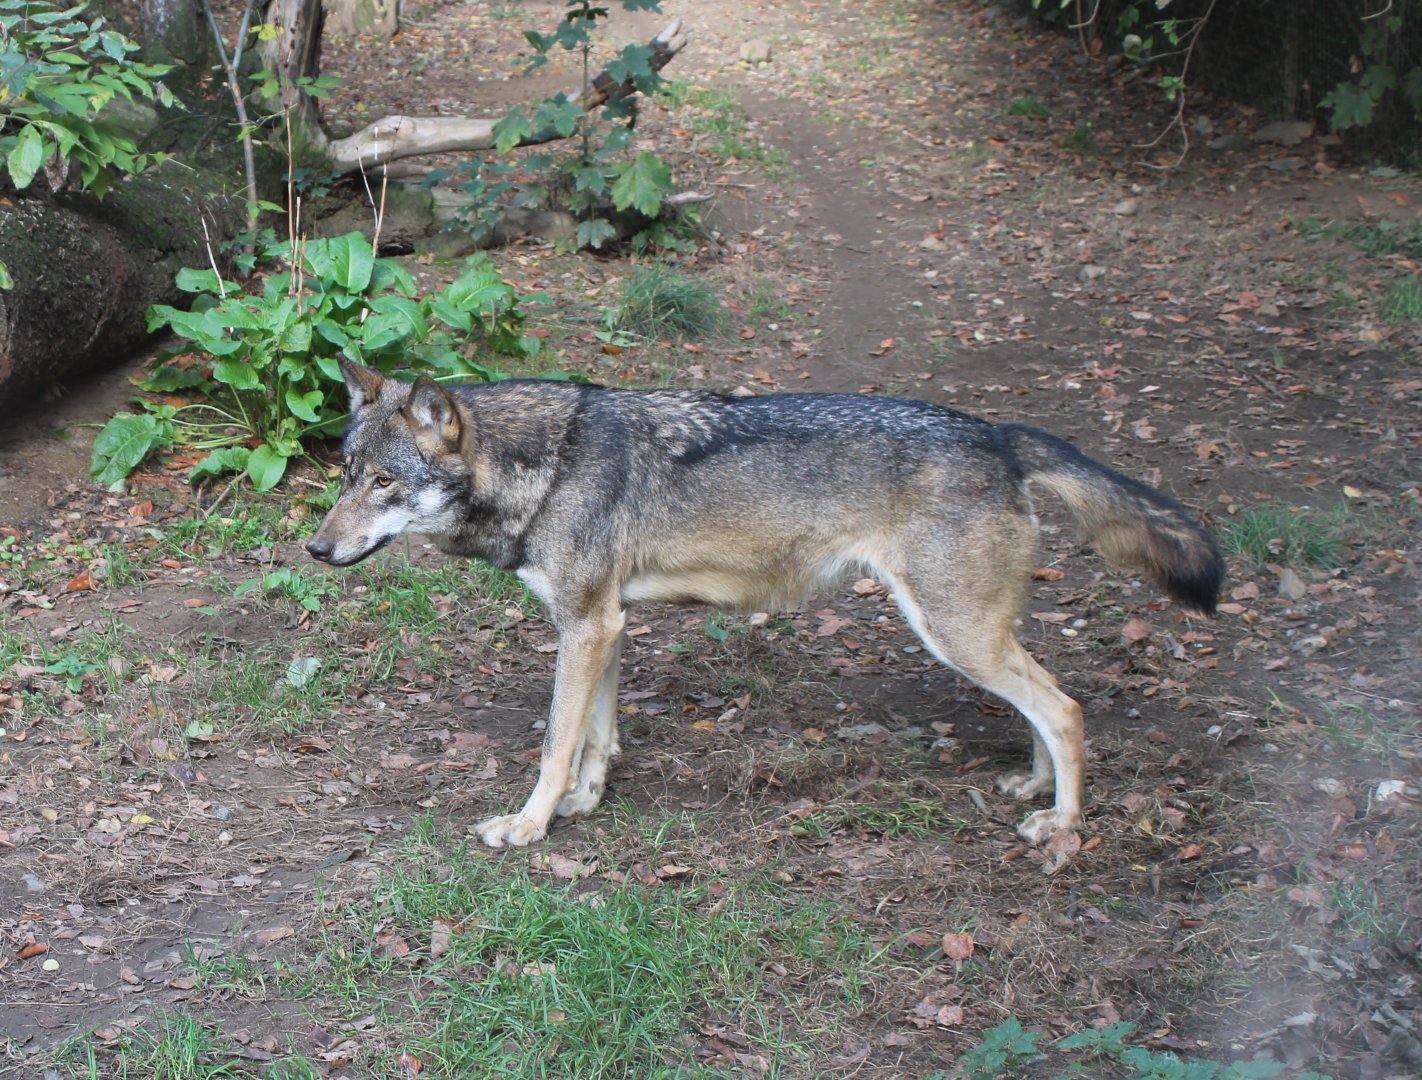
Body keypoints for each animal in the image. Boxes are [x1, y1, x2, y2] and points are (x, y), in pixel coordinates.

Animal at [307, 360, 1224, 849]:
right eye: (346, 476)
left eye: (384, 483)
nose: (316, 550)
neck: (546, 464)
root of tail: (998, 433)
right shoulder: (603, 625)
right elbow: (595, 741)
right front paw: (584, 806)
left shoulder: (589, 627)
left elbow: (553, 746)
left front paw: (531, 828)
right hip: (975, 636)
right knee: (1045, 703)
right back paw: (1034, 789)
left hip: (953, 634)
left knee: (1064, 708)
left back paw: (1062, 825)